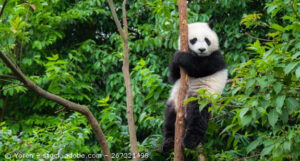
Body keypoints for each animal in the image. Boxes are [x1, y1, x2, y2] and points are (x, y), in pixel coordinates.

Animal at [162, 20, 227, 152]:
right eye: (193, 40)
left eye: (207, 40)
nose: (202, 49)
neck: (197, 55)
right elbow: (173, 77)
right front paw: (175, 58)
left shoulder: (216, 58)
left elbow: (200, 67)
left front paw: (180, 56)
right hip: (174, 102)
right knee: (169, 119)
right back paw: (168, 143)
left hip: (201, 97)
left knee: (198, 117)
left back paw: (190, 141)